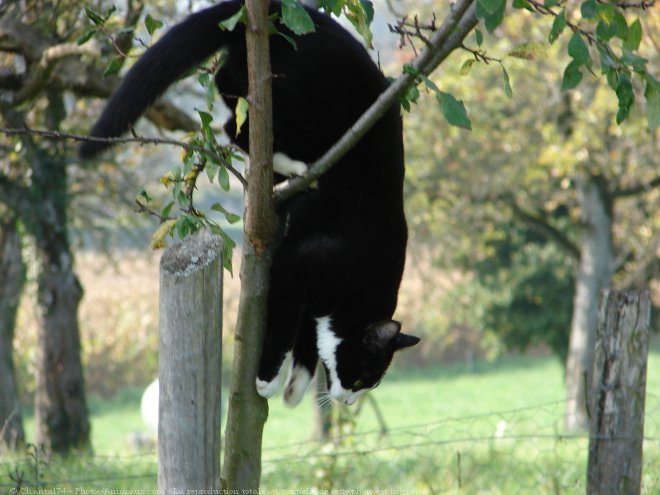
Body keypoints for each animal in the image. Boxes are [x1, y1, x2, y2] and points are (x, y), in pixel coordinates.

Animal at [81, 0, 418, 406]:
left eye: (369, 384)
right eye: (362, 377)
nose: (348, 401)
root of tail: (276, 9)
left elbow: (310, 333)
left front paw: (296, 385)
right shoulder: (299, 262)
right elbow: (285, 321)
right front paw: (267, 380)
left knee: (231, 100)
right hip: (288, 94)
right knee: (233, 116)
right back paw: (298, 168)